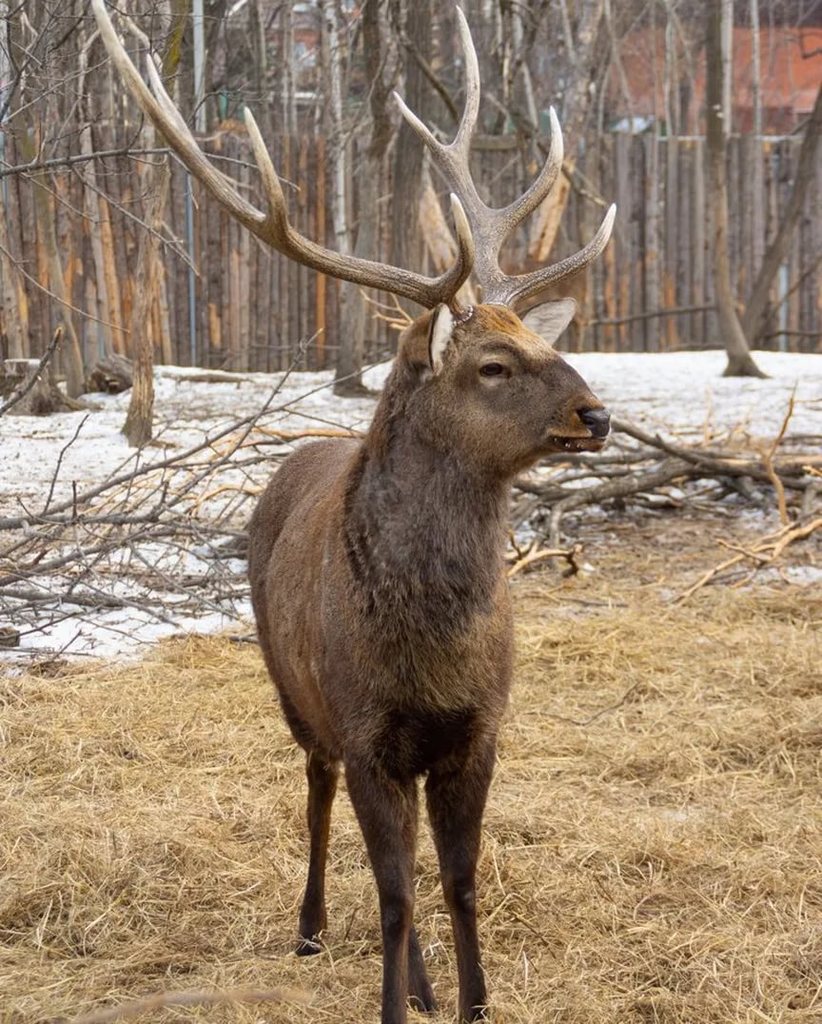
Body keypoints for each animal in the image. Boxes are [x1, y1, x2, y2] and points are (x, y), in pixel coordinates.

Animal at [91, 4, 618, 1019]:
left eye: (540, 343)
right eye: (493, 365)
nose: (596, 414)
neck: (431, 655)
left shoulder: (477, 733)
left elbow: (457, 882)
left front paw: (470, 1001)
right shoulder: (368, 728)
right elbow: (395, 892)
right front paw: (390, 1001)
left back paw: (419, 982)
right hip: (294, 692)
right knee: (314, 795)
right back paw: (308, 928)